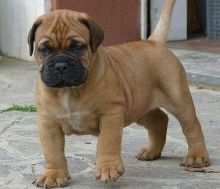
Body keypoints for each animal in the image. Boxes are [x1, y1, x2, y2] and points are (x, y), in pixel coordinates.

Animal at [28, 0, 210, 188]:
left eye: (78, 47)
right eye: (44, 49)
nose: (60, 66)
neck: (70, 90)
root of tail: (154, 42)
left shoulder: (111, 113)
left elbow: (107, 142)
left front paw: (108, 168)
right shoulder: (48, 122)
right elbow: (52, 151)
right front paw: (54, 174)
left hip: (178, 99)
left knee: (191, 126)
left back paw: (197, 156)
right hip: (139, 105)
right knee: (159, 120)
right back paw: (151, 151)